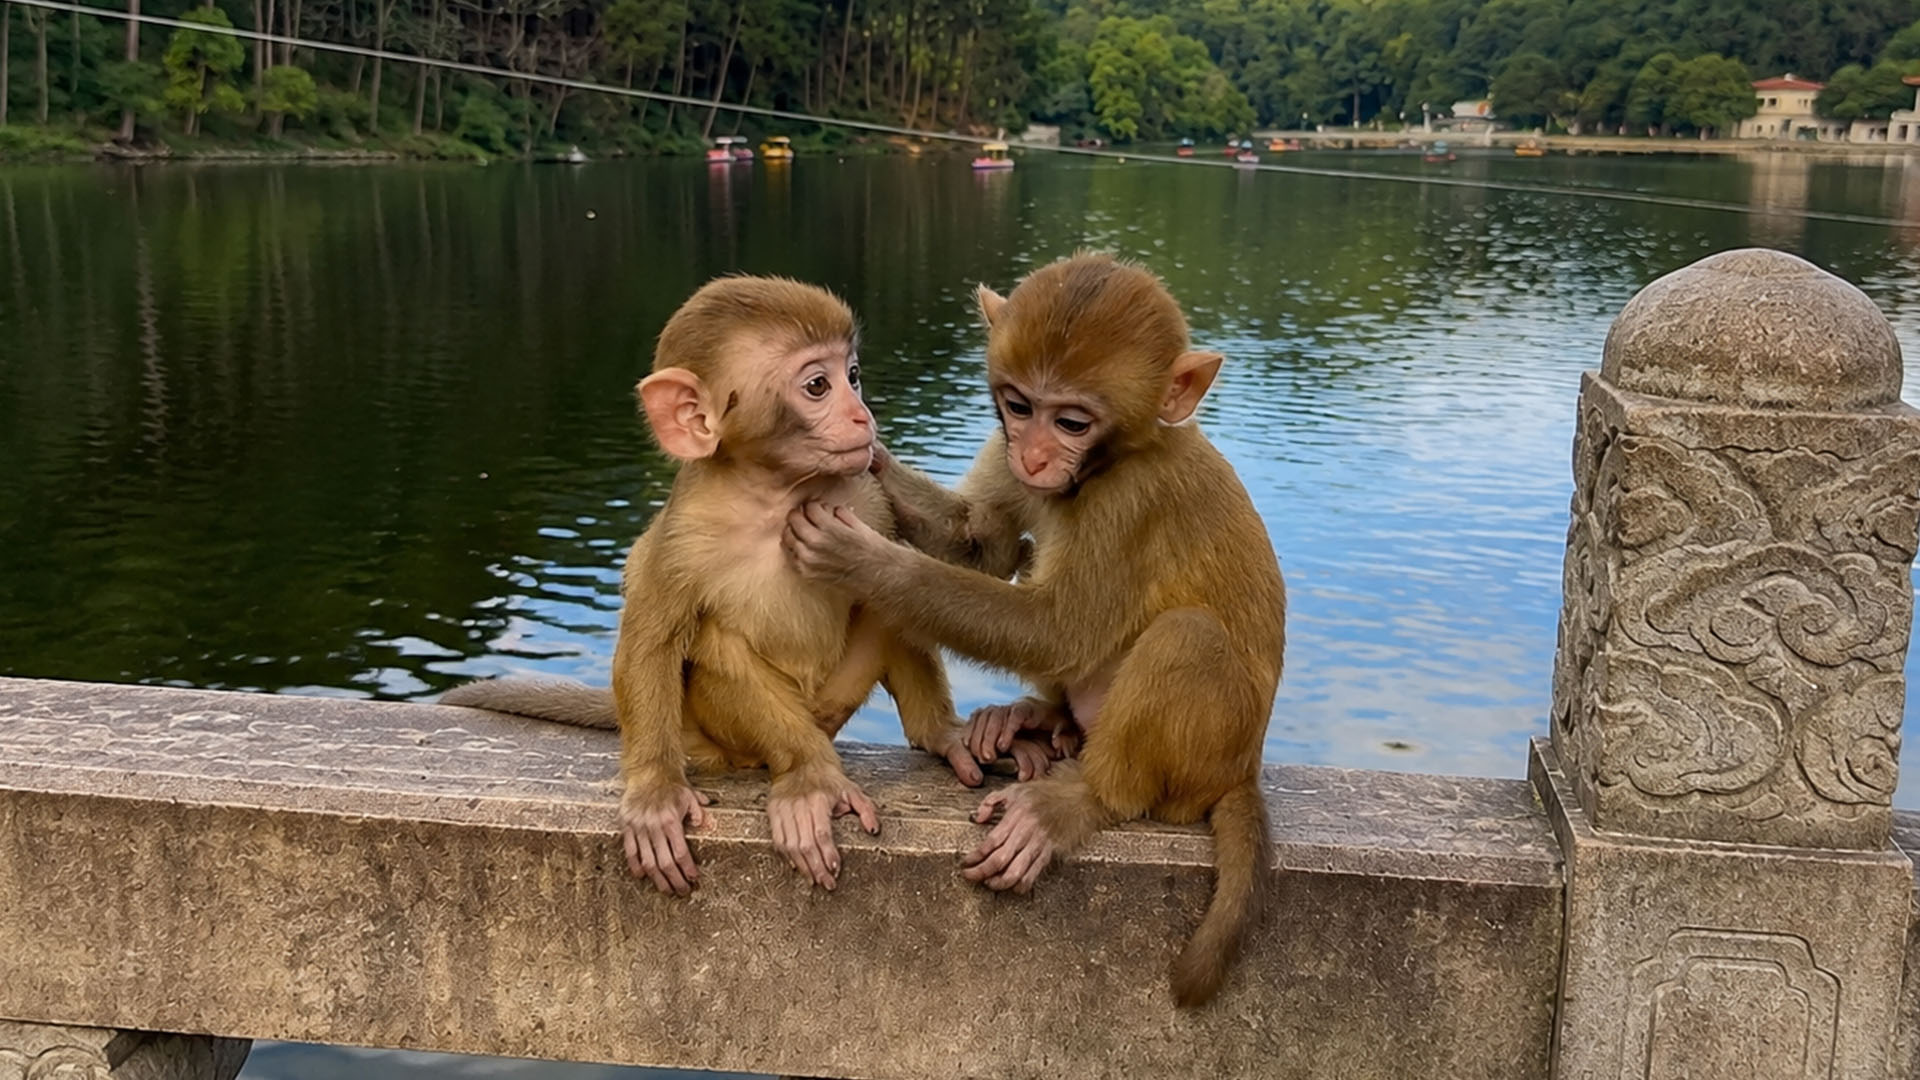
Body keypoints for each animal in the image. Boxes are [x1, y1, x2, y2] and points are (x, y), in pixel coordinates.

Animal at [442, 275, 984, 897]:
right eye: (818, 386)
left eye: (852, 375)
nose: (862, 416)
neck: (772, 496)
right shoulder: (683, 537)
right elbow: (651, 645)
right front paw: (654, 792)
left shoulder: (865, 498)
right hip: (718, 736)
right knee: (712, 641)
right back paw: (808, 773)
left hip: (833, 700)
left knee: (890, 604)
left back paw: (937, 734)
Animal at [783, 253, 1286, 1007]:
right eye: (1020, 407)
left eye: (1072, 421)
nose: (1037, 457)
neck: (1113, 460)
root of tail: (1243, 770)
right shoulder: (1005, 447)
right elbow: (982, 545)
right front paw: (870, 456)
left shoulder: (1130, 500)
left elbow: (1061, 632)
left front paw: (866, 561)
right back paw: (1043, 722)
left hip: (1210, 753)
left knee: (1186, 638)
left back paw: (1083, 796)